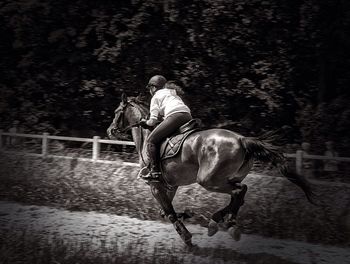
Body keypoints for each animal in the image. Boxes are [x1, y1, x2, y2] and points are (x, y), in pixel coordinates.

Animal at [106, 93, 318, 245]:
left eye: (116, 112)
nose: (110, 131)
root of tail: (242, 139)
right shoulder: (170, 185)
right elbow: (165, 212)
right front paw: (187, 215)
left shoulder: (155, 185)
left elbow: (169, 213)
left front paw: (187, 237)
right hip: (228, 178)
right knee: (240, 194)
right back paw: (220, 221)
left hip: (208, 180)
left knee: (239, 192)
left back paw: (226, 223)